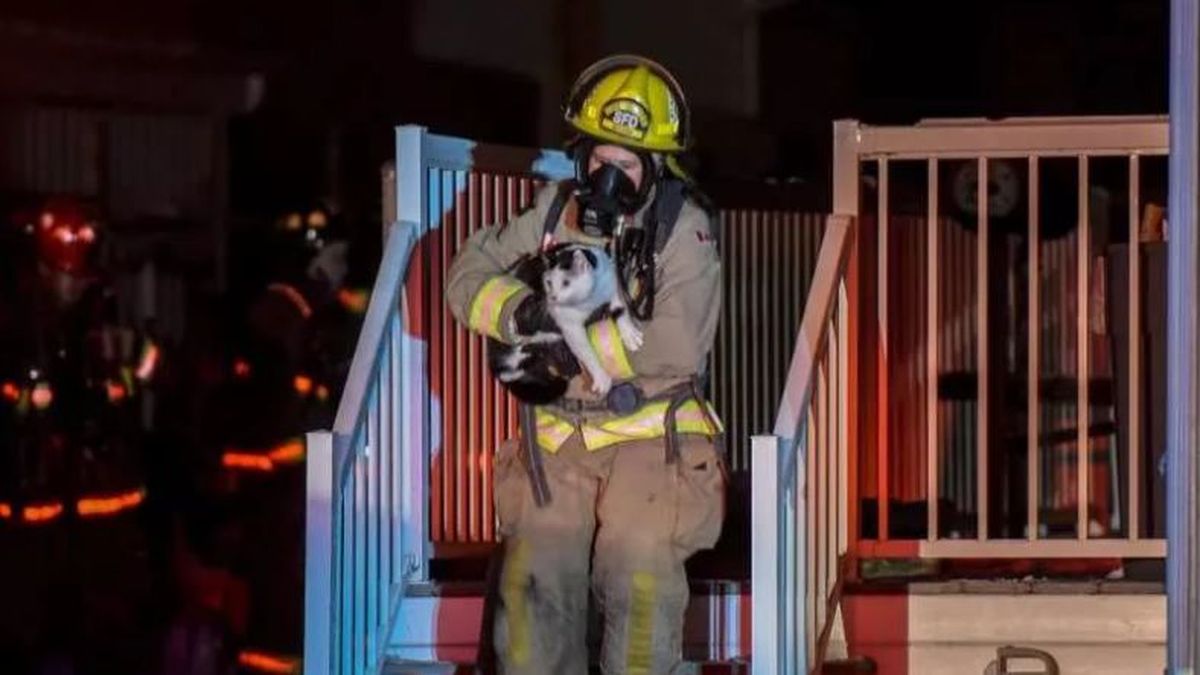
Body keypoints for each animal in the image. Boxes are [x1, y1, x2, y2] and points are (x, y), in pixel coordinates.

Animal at [484, 241, 643, 401]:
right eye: (548, 282)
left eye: (566, 283)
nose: (552, 297)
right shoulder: (569, 326)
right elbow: (585, 350)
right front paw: (601, 377)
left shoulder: (610, 285)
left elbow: (620, 308)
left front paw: (630, 334)